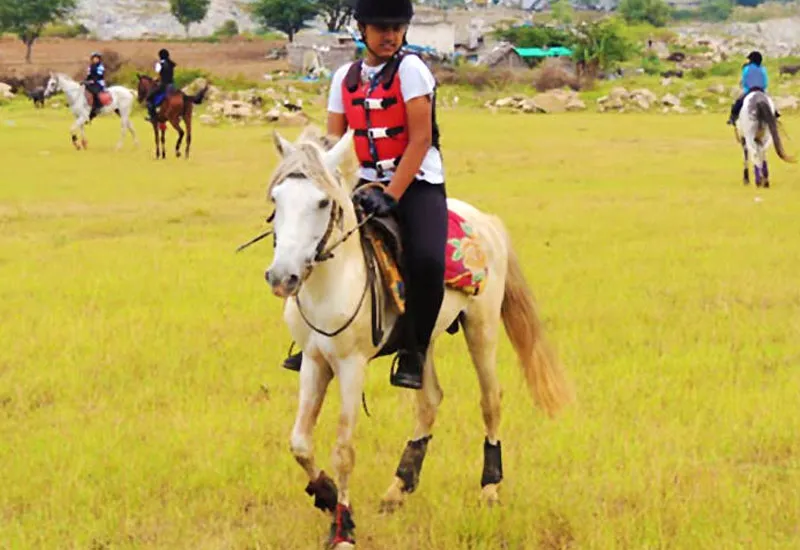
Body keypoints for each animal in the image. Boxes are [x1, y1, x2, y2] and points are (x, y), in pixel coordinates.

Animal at [262, 127, 576, 548]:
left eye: (322, 201)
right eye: (276, 198)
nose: (283, 277)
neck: (335, 280)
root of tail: (487, 221)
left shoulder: (351, 365)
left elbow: (343, 449)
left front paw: (343, 528)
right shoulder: (314, 360)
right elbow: (299, 442)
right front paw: (325, 495)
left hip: (482, 327)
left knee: (490, 400)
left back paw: (490, 488)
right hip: (423, 339)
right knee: (429, 401)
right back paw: (398, 488)